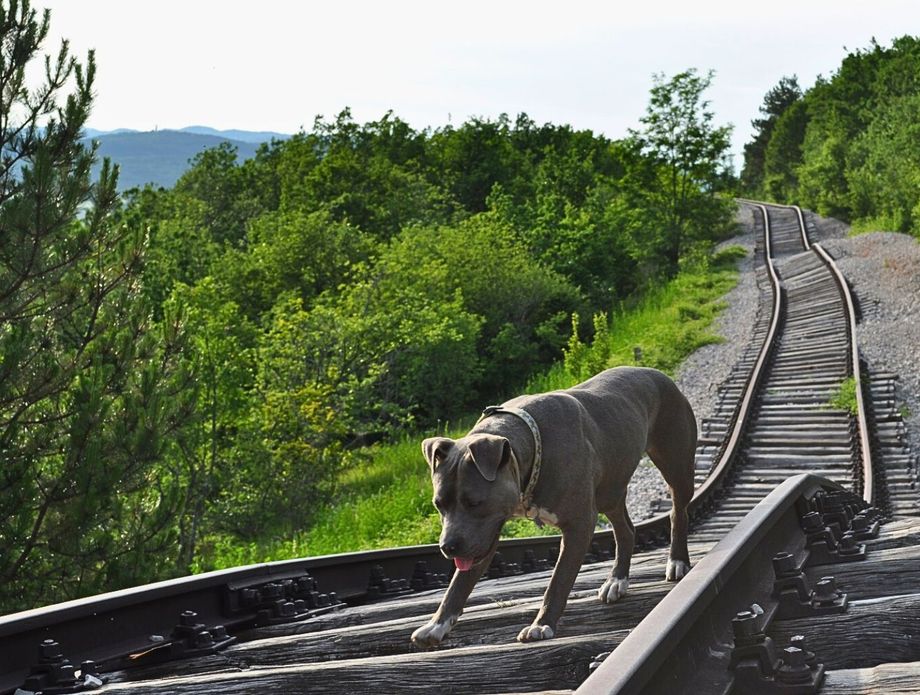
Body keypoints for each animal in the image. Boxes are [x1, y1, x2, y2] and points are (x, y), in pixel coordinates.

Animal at [412, 368, 696, 644]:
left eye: (474, 502)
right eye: (438, 504)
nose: (447, 547)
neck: (531, 447)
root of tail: (659, 375)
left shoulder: (578, 525)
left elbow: (559, 579)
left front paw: (541, 625)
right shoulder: (486, 533)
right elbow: (459, 583)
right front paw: (436, 625)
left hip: (676, 466)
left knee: (677, 512)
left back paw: (677, 561)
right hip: (610, 489)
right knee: (625, 530)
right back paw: (616, 580)